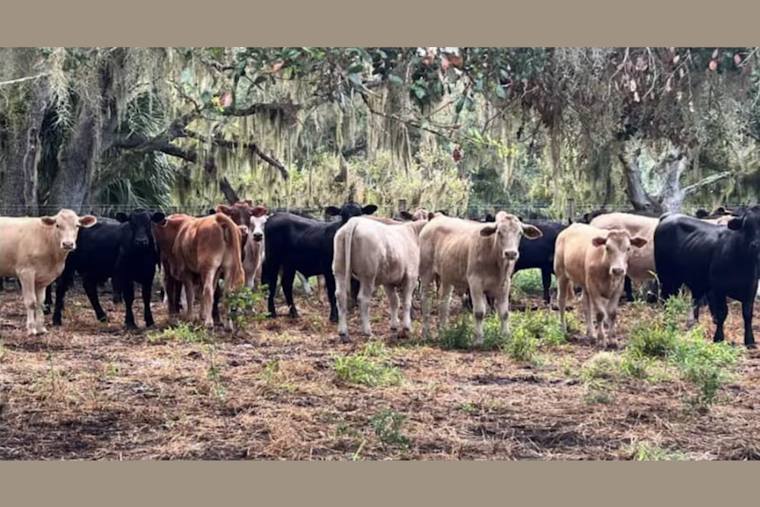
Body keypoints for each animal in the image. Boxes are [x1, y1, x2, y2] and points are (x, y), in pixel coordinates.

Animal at [333, 214, 430, 342]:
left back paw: (343, 333)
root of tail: (354, 221)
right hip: (368, 275)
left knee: (341, 296)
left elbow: (394, 301)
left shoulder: (389, 281)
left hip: (339, 269)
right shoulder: (411, 276)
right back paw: (368, 332)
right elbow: (406, 302)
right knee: (363, 299)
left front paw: (394, 326)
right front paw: (407, 327)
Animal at [419, 212, 543, 345]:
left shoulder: (505, 284)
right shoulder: (475, 283)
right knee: (425, 299)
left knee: (444, 301)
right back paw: (426, 333)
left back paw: (444, 331)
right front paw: (478, 340)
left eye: (520, 233)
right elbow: (479, 312)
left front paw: (506, 337)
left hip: (447, 275)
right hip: (426, 271)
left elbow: (504, 313)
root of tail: (436, 218)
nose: (511, 253)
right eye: (499, 232)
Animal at [654, 208, 760, 348]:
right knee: (666, 299)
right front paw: (718, 338)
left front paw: (750, 341)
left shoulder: (750, 288)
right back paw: (668, 323)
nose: (756, 245)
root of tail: (669, 216)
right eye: (746, 226)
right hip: (666, 275)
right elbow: (722, 313)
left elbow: (747, 315)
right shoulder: (718, 288)